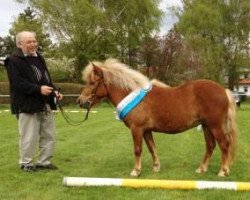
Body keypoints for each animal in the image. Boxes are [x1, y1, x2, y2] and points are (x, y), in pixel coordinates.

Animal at [77, 58, 237, 177]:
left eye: (92, 83)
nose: (80, 101)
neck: (132, 95)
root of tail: (223, 90)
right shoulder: (146, 130)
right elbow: (151, 148)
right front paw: (156, 167)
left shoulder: (137, 129)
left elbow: (138, 149)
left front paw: (136, 171)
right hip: (206, 126)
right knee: (210, 146)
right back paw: (202, 168)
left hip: (215, 126)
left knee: (224, 145)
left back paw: (223, 171)